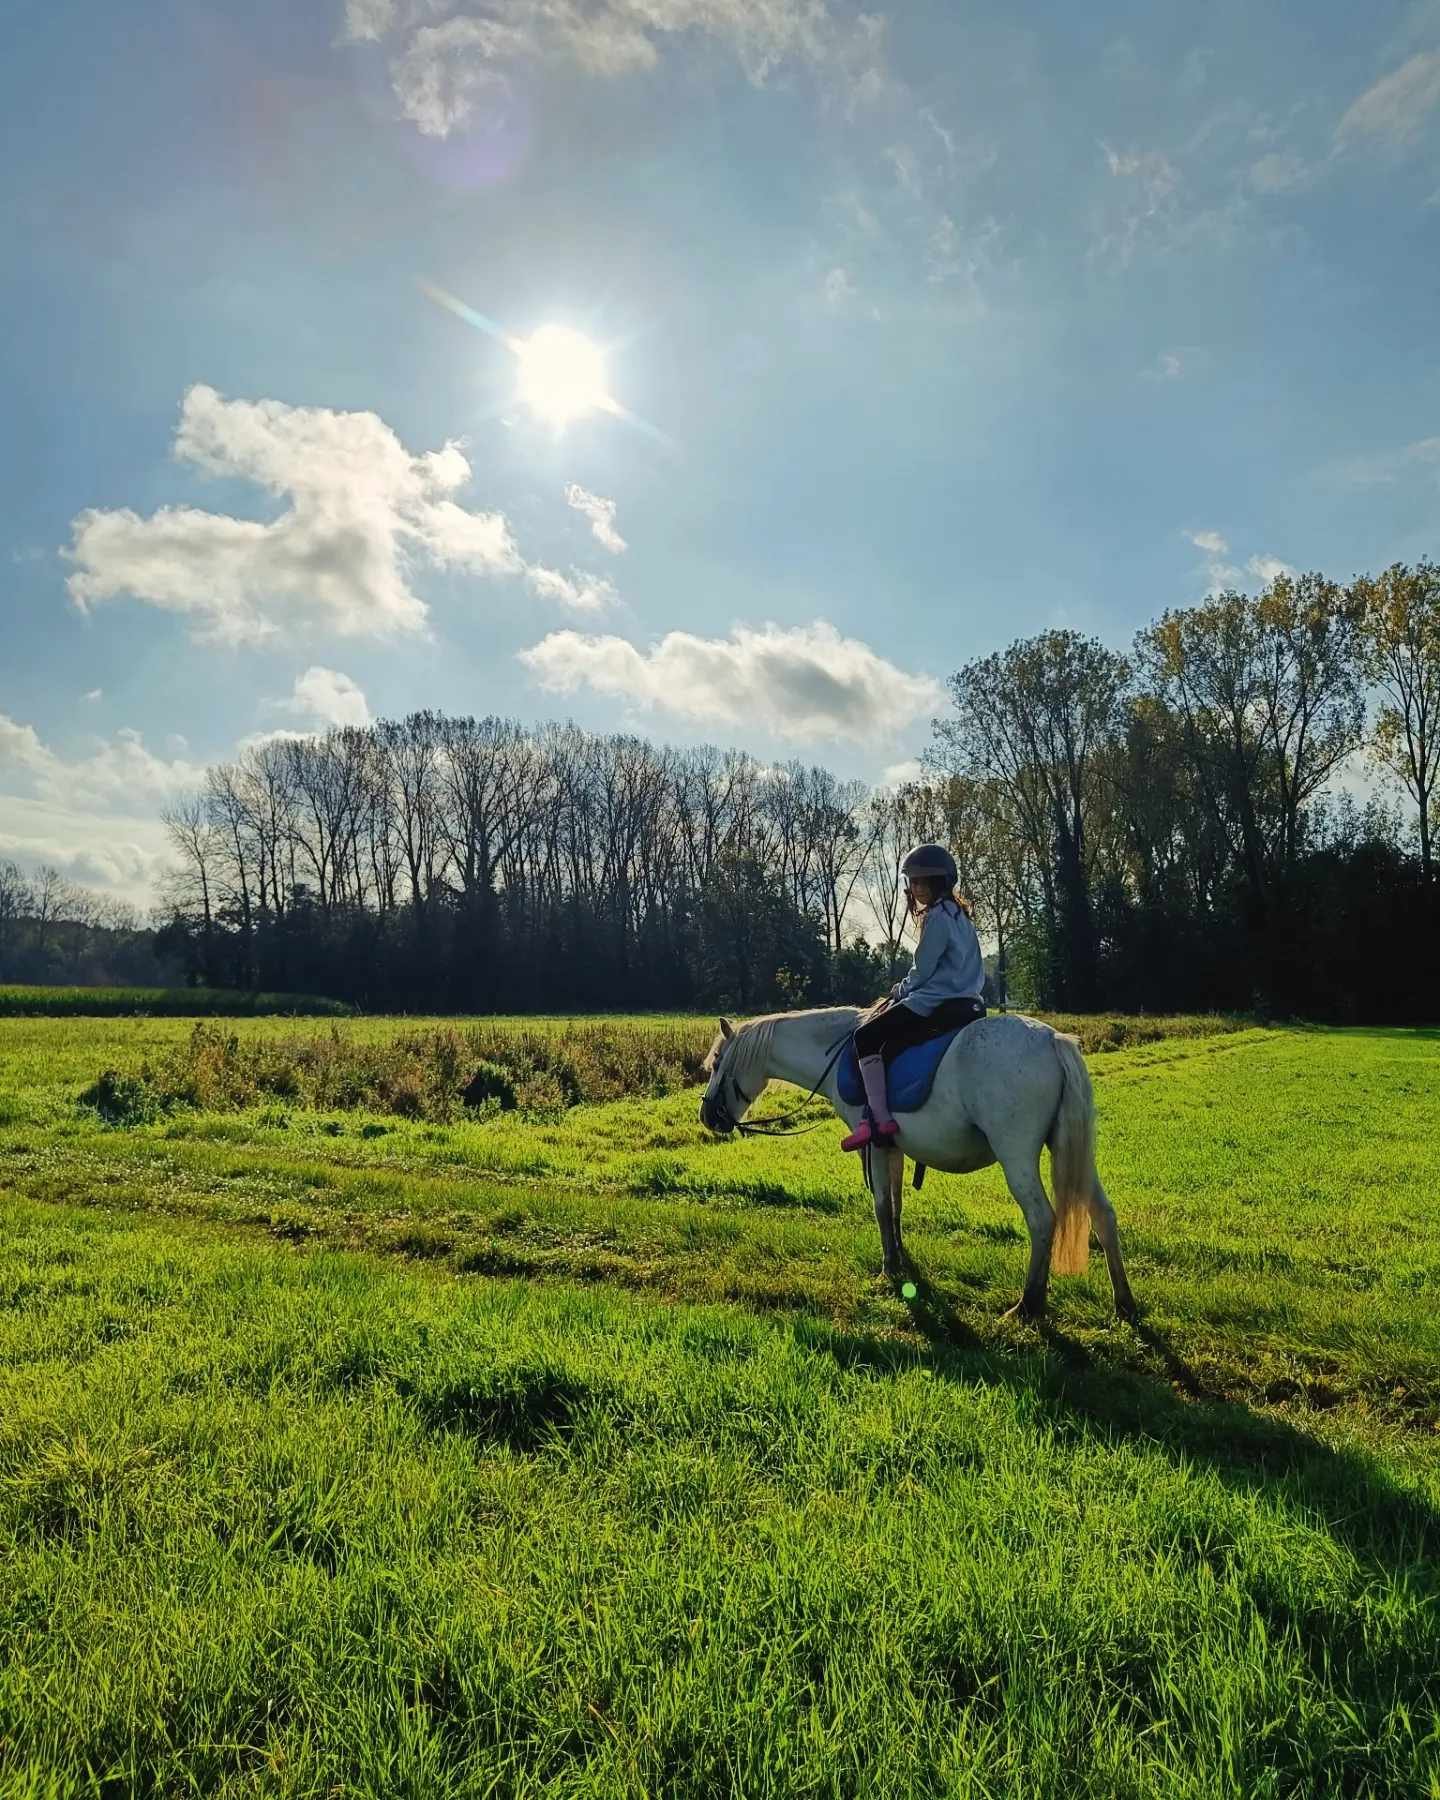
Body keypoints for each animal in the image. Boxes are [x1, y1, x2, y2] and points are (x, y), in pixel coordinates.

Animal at [699, 1006, 1136, 1322]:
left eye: (718, 1062)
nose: (707, 1116)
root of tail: (1052, 1040)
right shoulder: (892, 1147)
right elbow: (895, 1206)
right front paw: (900, 1259)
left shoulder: (874, 1148)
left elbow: (879, 1206)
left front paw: (888, 1268)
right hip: (1072, 1152)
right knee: (1103, 1214)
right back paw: (1124, 1303)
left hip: (1017, 1156)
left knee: (1043, 1219)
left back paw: (1028, 1305)